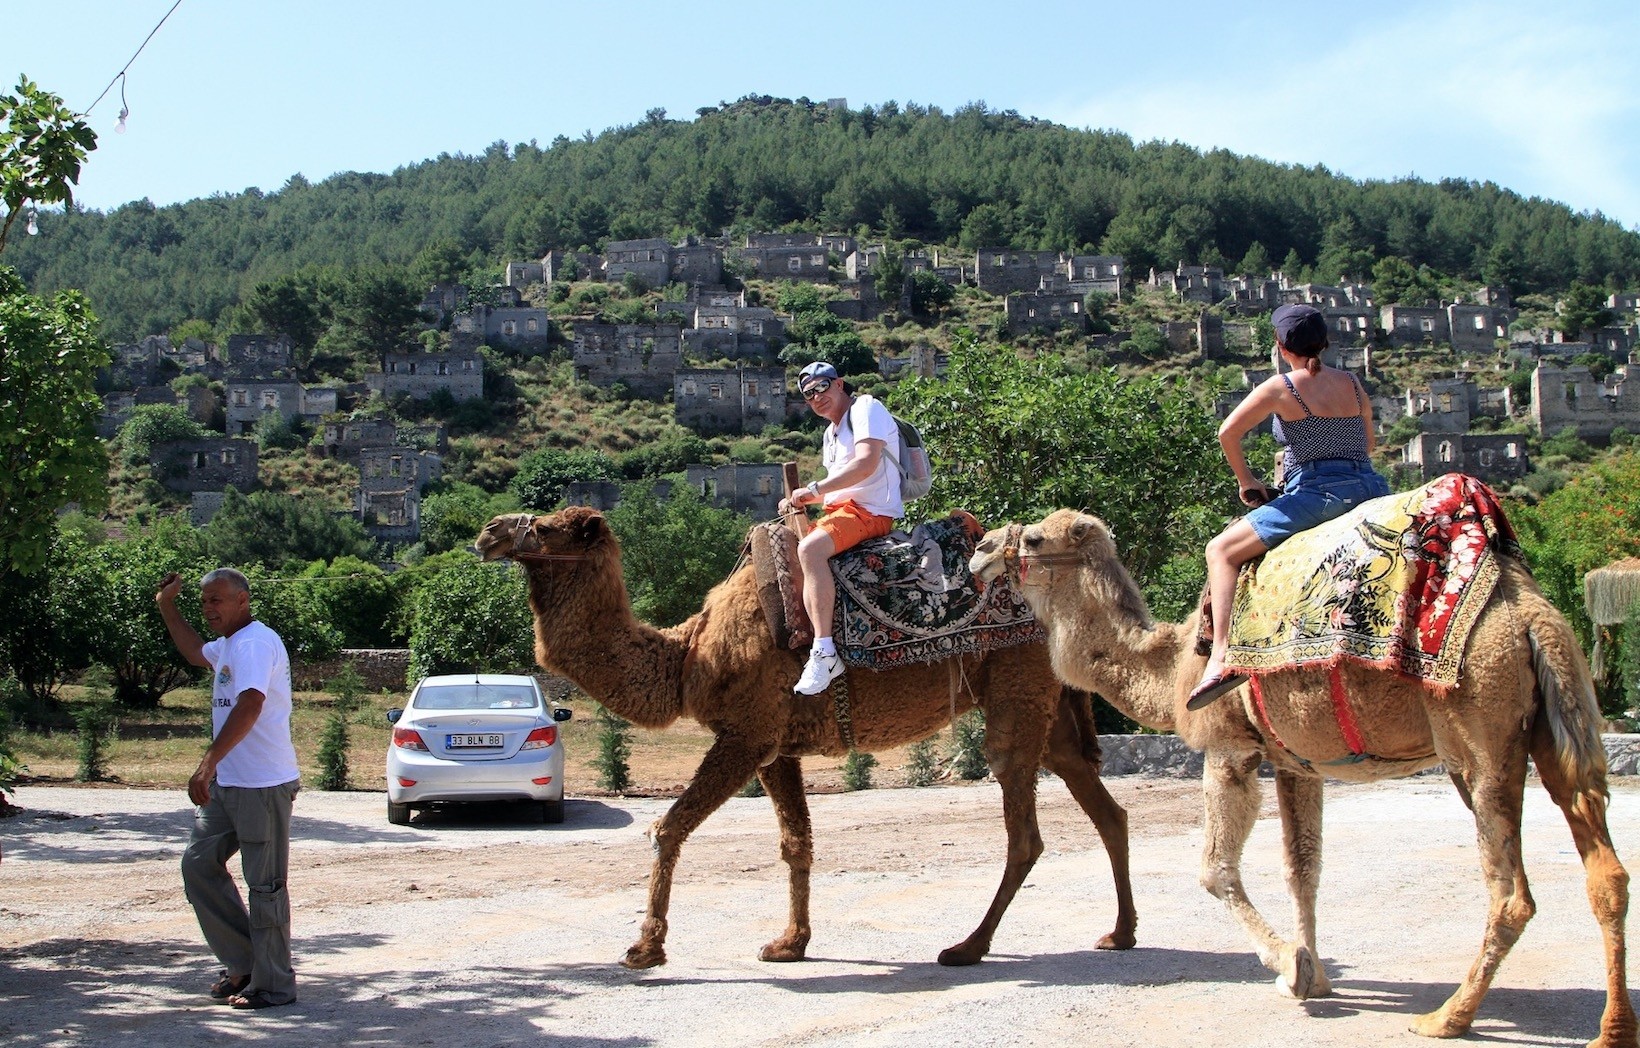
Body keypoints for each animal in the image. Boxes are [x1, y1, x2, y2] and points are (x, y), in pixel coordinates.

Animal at [475, 506, 1138, 970]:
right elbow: (796, 843)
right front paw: (790, 942)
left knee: (1024, 829)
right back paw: (1120, 932)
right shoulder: (776, 747)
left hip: (1016, 692)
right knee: (1106, 808)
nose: (487, 532)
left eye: (548, 527)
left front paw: (644, 949)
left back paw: (967, 947)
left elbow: (668, 827)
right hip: (1049, 707)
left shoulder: (744, 734)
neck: (688, 655)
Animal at [970, 509, 1636, 1048]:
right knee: (1605, 868)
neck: (1174, 665)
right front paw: (1313, 973)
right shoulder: (1297, 762)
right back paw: (1611, 1029)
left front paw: (1288, 966)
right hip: (1556, 724)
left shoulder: (1228, 749)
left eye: (1033, 538)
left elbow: (1214, 869)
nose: (979, 550)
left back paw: (1448, 1017)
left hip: (1477, 737)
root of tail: (1531, 617)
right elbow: (1303, 869)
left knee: (1511, 891)